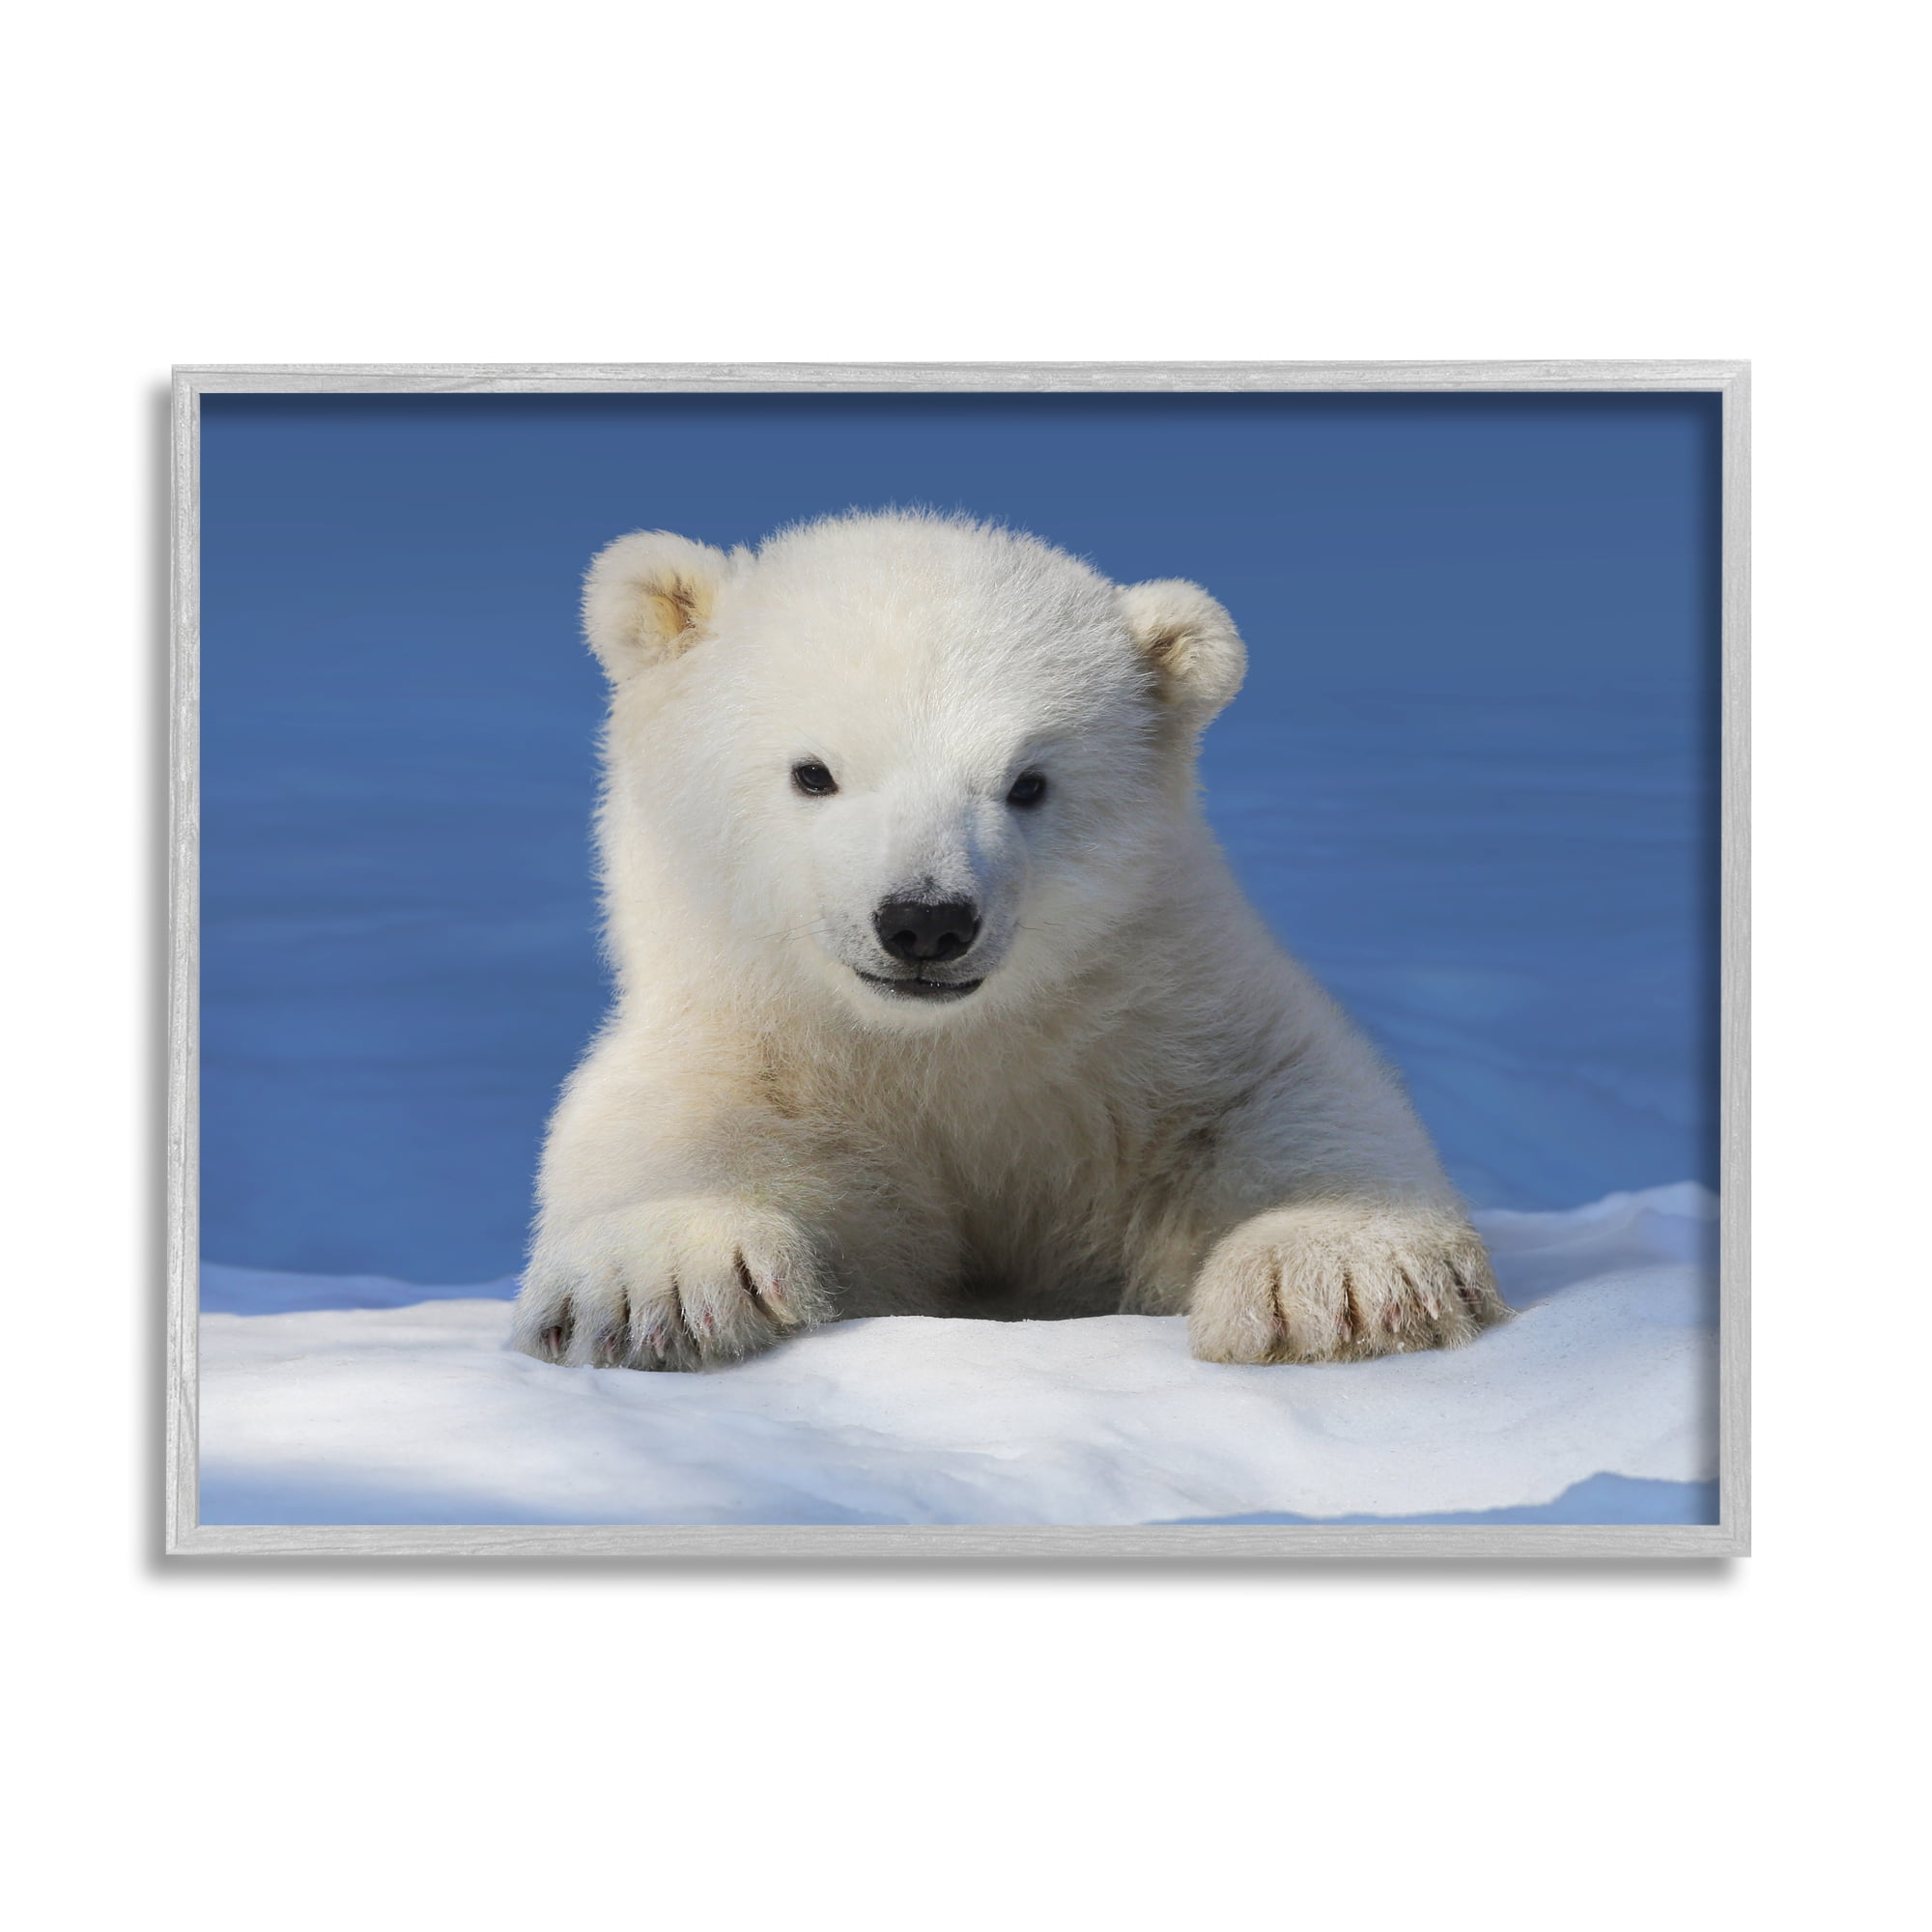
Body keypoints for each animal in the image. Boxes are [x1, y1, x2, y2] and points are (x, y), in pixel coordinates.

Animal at [510, 510, 1509, 1372]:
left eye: (1027, 783)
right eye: (813, 772)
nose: (926, 920)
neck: (942, 1053)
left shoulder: (1155, 1017)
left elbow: (1281, 1092)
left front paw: (1335, 1278)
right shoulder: (753, 1044)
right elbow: (670, 1128)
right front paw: (663, 1286)